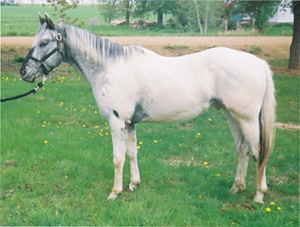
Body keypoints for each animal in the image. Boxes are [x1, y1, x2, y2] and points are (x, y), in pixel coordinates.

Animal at [19, 13, 276, 203]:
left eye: (44, 42)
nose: (24, 73)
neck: (110, 68)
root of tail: (258, 63)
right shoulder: (130, 122)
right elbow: (132, 153)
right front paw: (133, 184)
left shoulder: (117, 122)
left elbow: (118, 158)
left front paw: (115, 192)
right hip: (233, 117)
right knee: (243, 150)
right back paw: (236, 187)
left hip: (247, 119)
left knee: (258, 151)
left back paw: (259, 195)